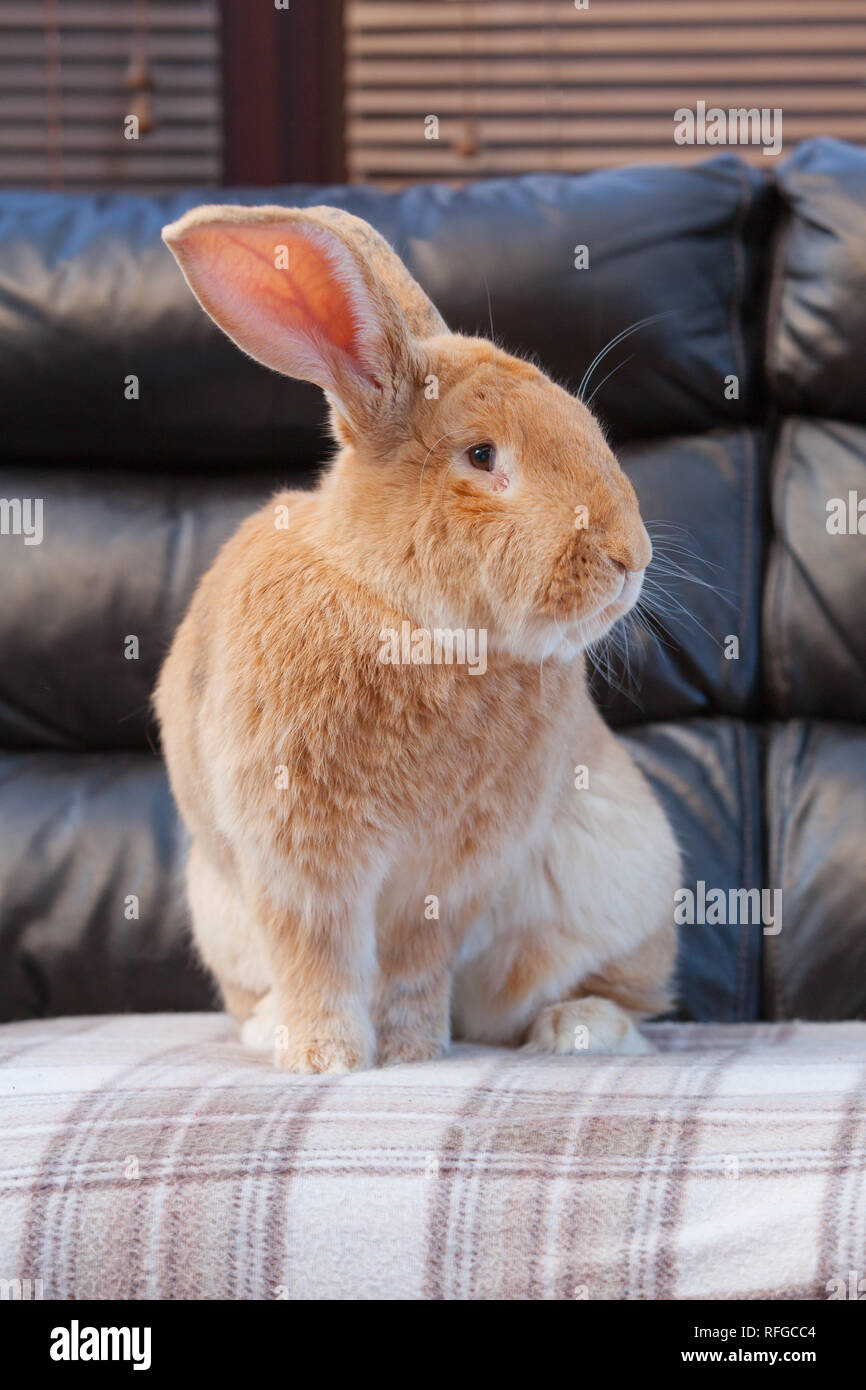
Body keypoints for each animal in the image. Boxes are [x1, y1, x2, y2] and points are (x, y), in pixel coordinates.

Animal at [155, 202, 681, 1074]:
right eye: (481, 455)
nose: (628, 558)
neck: (413, 622)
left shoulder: (449, 876)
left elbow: (411, 965)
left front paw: (408, 1054)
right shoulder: (299, 863)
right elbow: (320, 958)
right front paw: (326, 1057)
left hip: (617, 885)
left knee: (615, 996)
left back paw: (576, 1031)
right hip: (220, 913)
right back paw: (272, 1032)